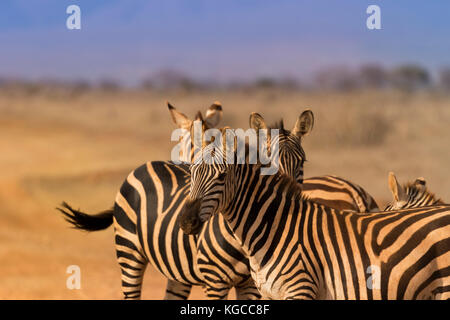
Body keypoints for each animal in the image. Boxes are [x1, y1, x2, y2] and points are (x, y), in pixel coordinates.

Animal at [58, 106, 314, 298]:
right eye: (266, 162)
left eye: (302, 162)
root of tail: (146, 164)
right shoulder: (215, 281)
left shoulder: (250, 285)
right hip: (128, 252)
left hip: (176, 270)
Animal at [181, 144, 450, 298]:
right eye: (191, 172)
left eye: (222, 176)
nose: (186, 221)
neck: (276, 229)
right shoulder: (270, 295)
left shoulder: (301, 289)